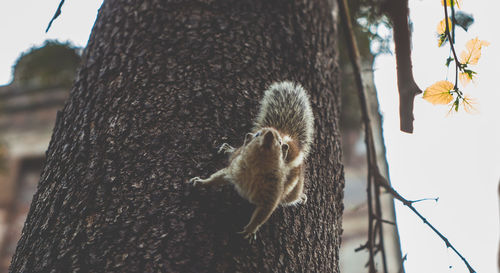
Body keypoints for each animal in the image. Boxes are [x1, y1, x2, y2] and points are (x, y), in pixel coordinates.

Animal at [189, 81, 314, 240]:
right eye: (257, 134)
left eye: (279, 143)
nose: (270, 134)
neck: (258, 167)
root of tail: (288, 136)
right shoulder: (233, 170)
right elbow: (218, 176)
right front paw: (201, 182)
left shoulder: (272, 194)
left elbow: (262, 215)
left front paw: (250, 229)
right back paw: (228, 149)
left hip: (293, 190)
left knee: (291, 198)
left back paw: (300, 197)